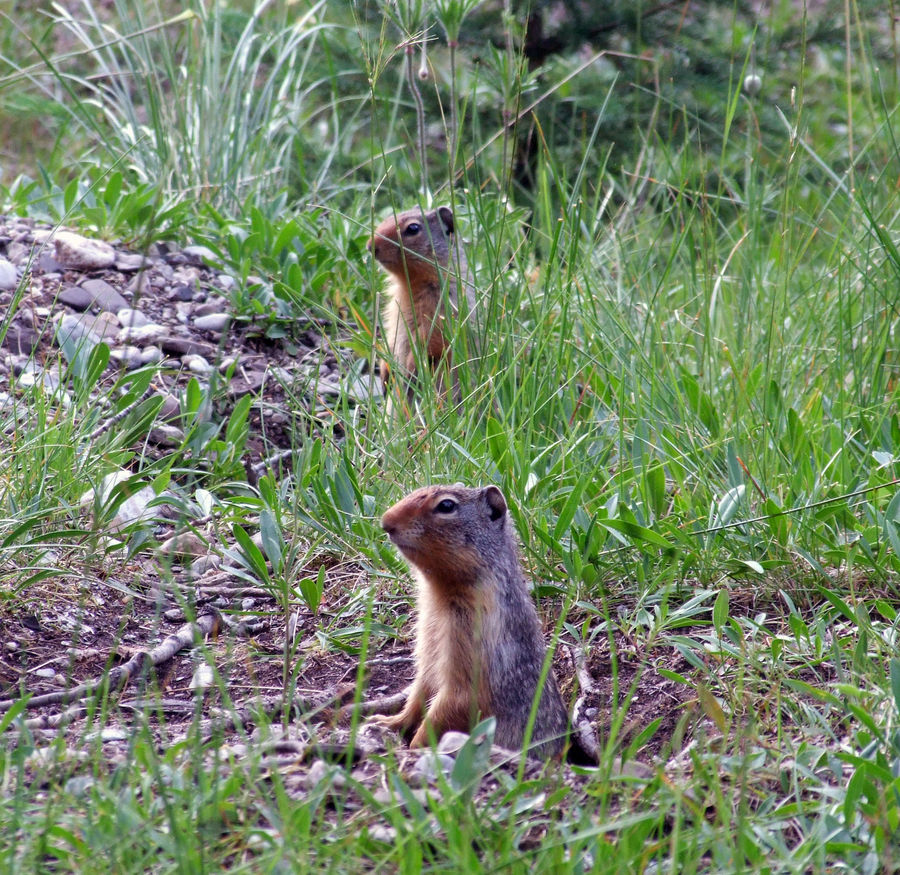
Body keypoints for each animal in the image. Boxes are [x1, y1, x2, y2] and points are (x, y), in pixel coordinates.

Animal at [368, 207, 478, 416]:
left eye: (413, 228)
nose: (371, 246)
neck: (411, 283)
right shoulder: (394, 310)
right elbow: (391, 338)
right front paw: (385, 373)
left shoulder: (445, 304)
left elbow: (432, 336)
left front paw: (412, 367)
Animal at [376, 482, 568, 756]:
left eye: (446, 505)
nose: (386, 522)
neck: (440, 595)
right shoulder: (429, 649)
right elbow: (419, 693)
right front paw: (387, 722)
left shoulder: (473, 649)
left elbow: (453, 703)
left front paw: (415, 747)